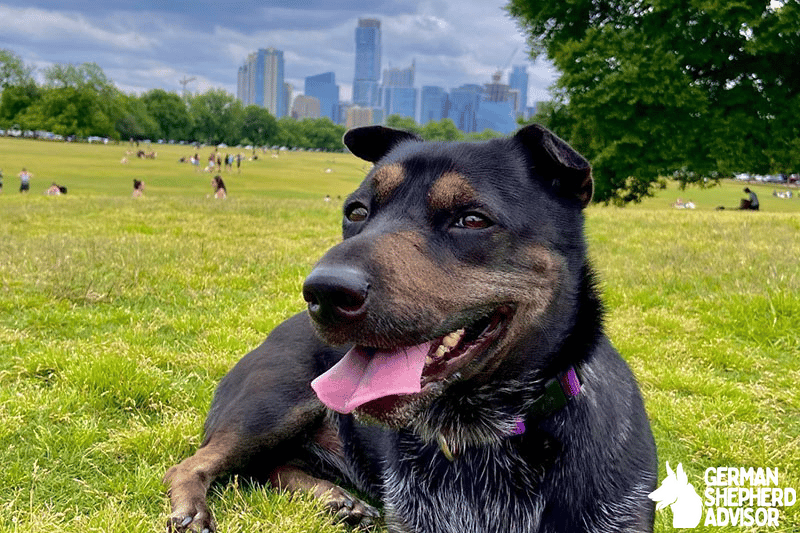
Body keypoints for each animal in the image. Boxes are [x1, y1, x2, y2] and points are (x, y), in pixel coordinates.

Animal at [162, 125, 656, 532]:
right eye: (356, 212)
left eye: (472, 219)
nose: (324, 292)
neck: (477, 432)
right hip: (272, 405)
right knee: (193, 465)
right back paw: (194, 509)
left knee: (269, 468)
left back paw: (337, 499)